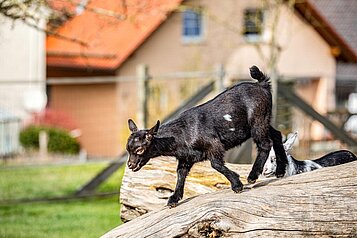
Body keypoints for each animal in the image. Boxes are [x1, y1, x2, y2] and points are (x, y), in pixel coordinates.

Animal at [125, 65, 286, 206]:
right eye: (128, 149)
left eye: (140, 149)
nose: (130, 165)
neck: (183, 134)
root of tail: (262, 85)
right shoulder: (185, 159)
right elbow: (180, 175)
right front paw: (173, 199)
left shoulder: (214, 145)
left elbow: (216, 164)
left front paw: (237, 185)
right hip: (264, 121)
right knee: (277, 136)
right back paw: (280, 171)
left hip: (257, 121)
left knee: (265, 144)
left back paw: (252, 176)